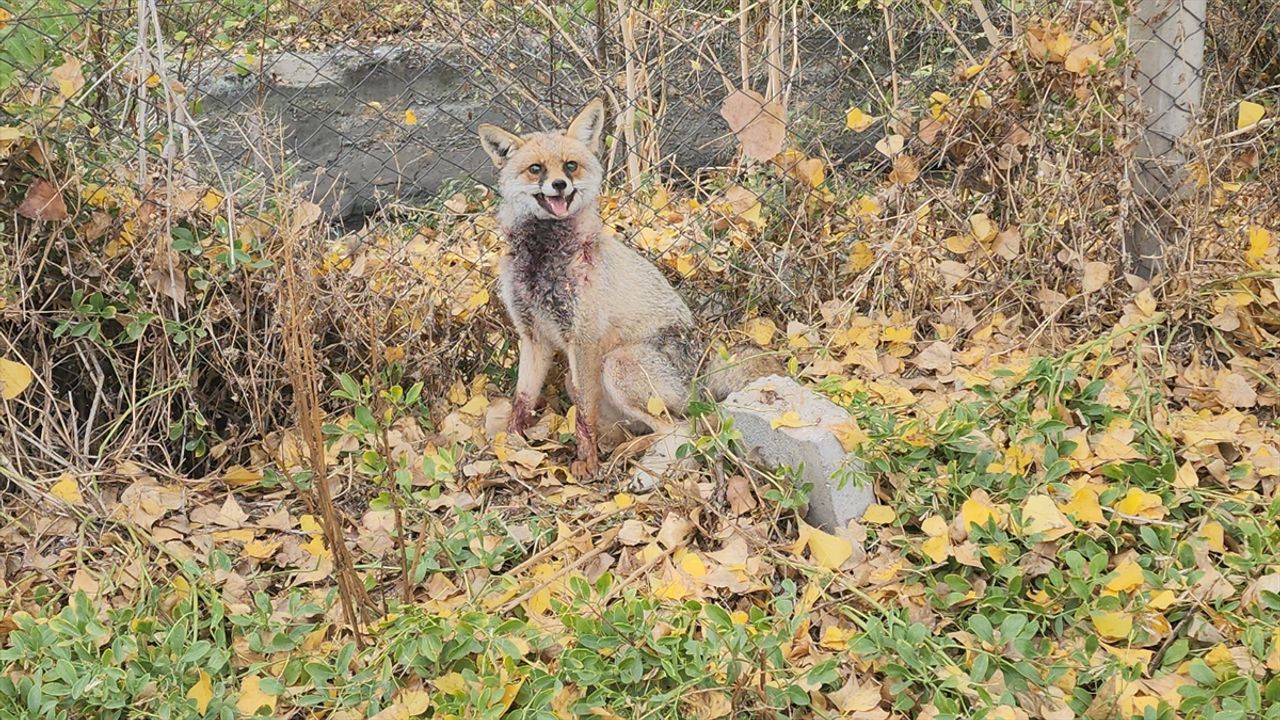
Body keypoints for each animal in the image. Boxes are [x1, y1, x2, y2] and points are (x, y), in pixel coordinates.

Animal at [478, 98, 778, 488]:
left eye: (570, 166)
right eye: (536, 169)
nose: (559, 185)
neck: (543, 262)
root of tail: (700, 369)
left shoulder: (583, 340)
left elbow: (584, 418)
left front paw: (586, 463)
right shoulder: (533, 337)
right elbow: (522, 401)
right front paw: (510, 448)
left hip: (615, 366)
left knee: (685, 429)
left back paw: (638, 464)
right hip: (579, 378)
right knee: (650, 429)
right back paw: (624, 450)